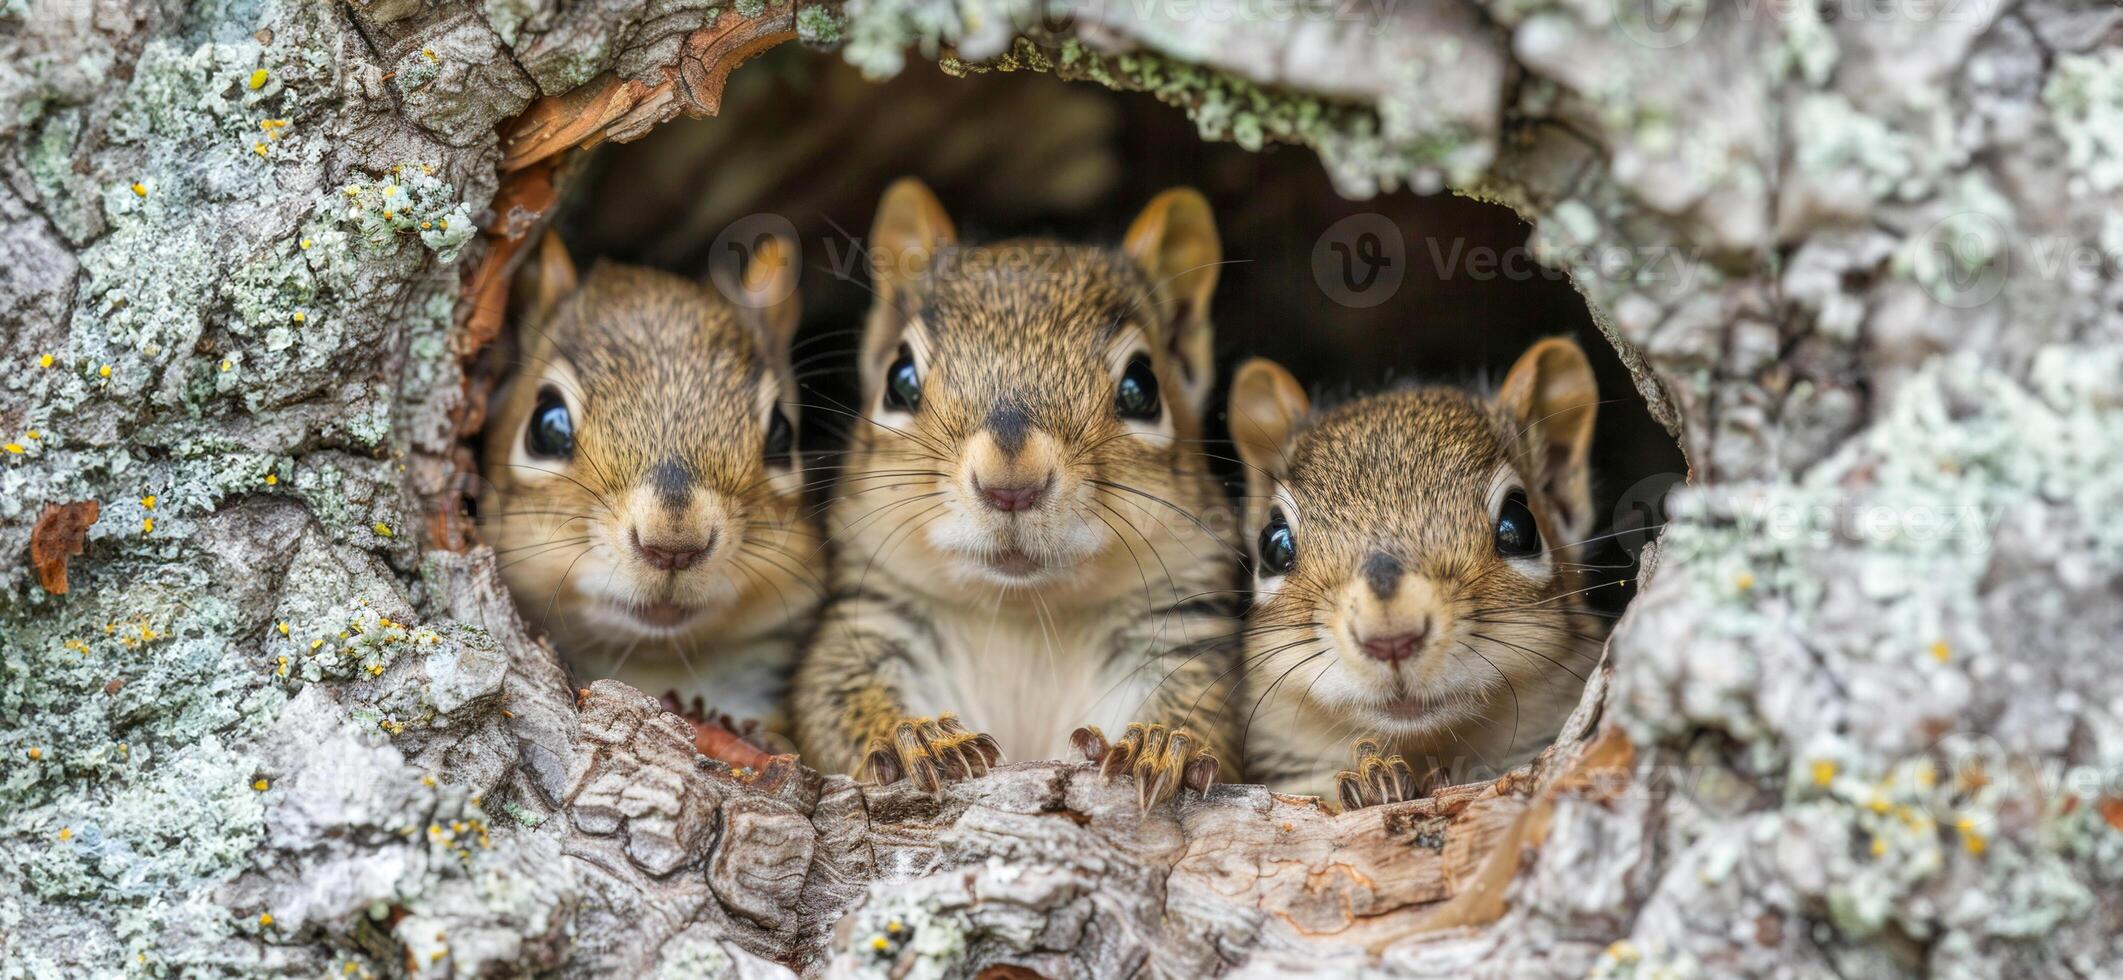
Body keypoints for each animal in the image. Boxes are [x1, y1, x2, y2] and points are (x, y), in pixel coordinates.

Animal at [789, 180, 1239, 806]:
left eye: (1142, 386)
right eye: (899, 379)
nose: (1011, 486)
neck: (1024, 616)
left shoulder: (1176, 640)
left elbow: (1204, 708)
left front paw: (1161, 745)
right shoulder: (871, 627)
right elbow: (829, 700)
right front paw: (915, 741)